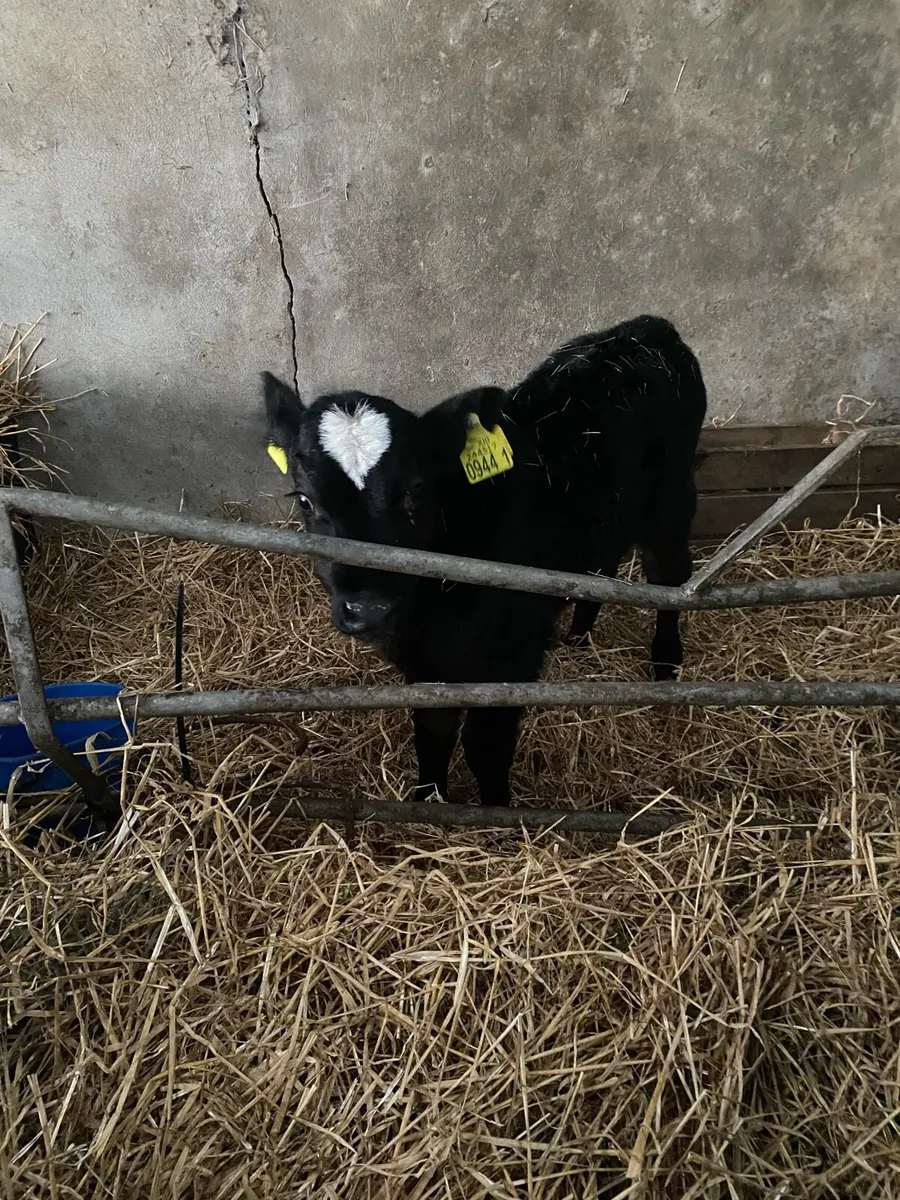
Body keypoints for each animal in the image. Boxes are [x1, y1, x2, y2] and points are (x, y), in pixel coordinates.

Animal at [263, 314, 707, 806]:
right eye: (304, 500)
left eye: (418, 491)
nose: (369, 609)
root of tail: (648, 329)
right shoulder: (428, 667)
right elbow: (433, 733)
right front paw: (429, 799)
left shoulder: (512, 653)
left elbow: (486, 745)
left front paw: (497, 809)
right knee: (602, 566)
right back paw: (578, 637)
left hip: (671, 503)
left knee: (669, 576)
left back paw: (665, 662)